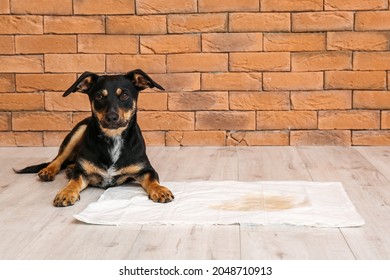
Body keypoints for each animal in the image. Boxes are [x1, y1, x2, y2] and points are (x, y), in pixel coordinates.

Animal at [14, 69, 174, 207]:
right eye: (99, 96)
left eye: (124, 95)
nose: (111, 117)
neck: (113, 139)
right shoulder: (81, 173)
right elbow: (74, 181)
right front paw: (66, 193)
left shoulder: (146, 169)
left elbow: (152, 179)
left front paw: (160, 190)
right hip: (78, 131)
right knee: (59, 158)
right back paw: (49, 170)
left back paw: (69, 168)